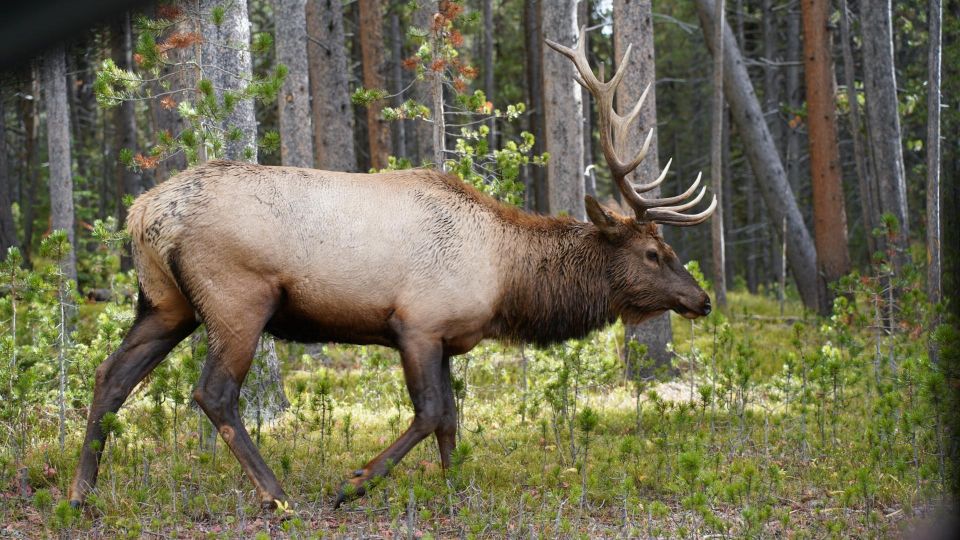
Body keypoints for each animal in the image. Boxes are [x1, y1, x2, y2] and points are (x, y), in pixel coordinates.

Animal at [69, 29, 712, 510]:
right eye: (653, 253)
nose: (701, 299)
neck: (507, 280)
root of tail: (142, 213)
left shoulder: (448, 337)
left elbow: (451, 420)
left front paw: (456, 491)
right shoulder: (417, 324)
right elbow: (429, 413)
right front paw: (352, 484)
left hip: (164, 300)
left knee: (110, 377)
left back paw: (81, 493)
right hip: (237, 300)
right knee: (214, 393)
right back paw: (277, 495)